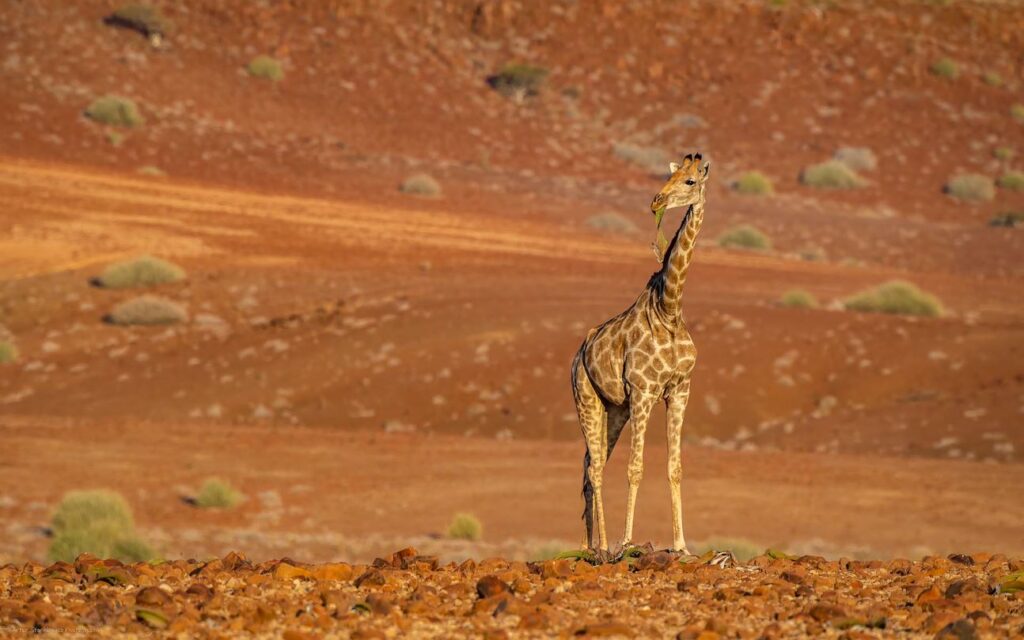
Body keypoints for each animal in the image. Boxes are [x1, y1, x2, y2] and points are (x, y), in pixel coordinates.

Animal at [571, 152, 710, 553]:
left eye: (690, 181)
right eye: (670, 176)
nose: (656, 201)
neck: (669, 309)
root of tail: (579, 353)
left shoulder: (679, 390)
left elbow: (674, 468)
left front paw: (681, 545)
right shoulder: (644, 391)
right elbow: (635, 468)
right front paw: (628, 541)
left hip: (614, 409)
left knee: (590, 464)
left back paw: (590, 545)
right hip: (586, 397)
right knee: (595, 467)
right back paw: (603, 546)